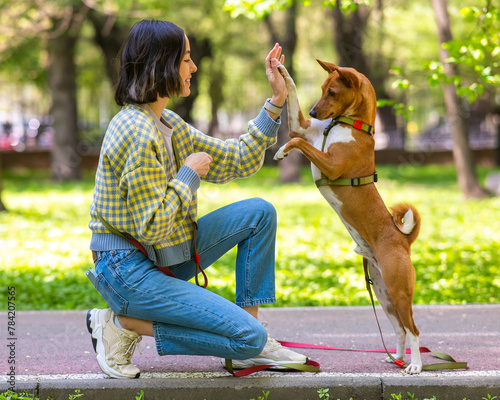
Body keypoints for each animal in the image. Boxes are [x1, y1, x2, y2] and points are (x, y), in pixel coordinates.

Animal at [274, 60, 422, 376]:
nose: (314, 112)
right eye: (321, 89)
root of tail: (403, 240)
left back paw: (415, 365)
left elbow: (298, 142)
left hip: (400, 292)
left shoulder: (330, 164)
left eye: (332, 92)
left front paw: (281, 150)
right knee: (400, 329)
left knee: (414, 329)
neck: (349, 125)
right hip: (384, 294)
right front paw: (279, 68)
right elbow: (293, 104)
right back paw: (396, 358)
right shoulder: (303, 127)